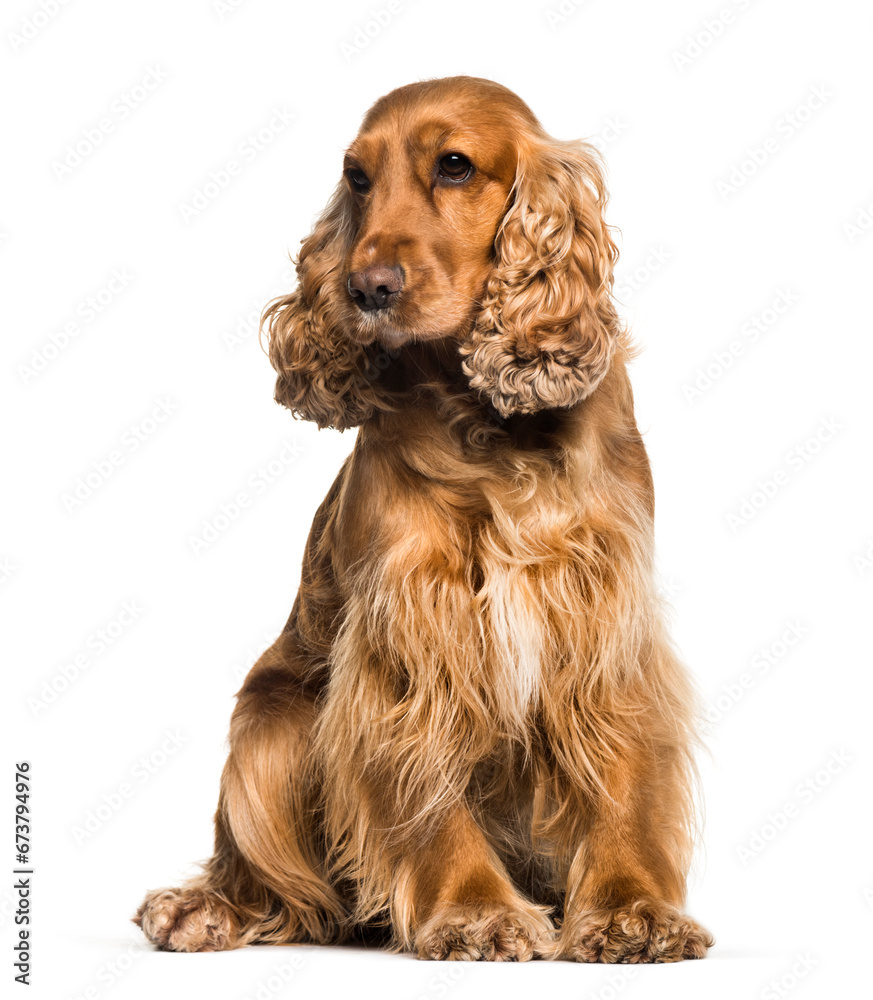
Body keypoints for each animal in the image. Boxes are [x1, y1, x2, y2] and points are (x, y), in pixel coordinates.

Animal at [135, 74, 708, 964]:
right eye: (357, 176)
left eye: (454, 165)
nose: (365, 287)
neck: (491, 430)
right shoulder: (409, 626)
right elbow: (423, 791)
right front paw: (475, 911)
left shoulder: (602, 613)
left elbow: (619, 776)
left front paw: (630, 911)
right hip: (270, 725)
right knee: (270, 875)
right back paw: (209, 906)